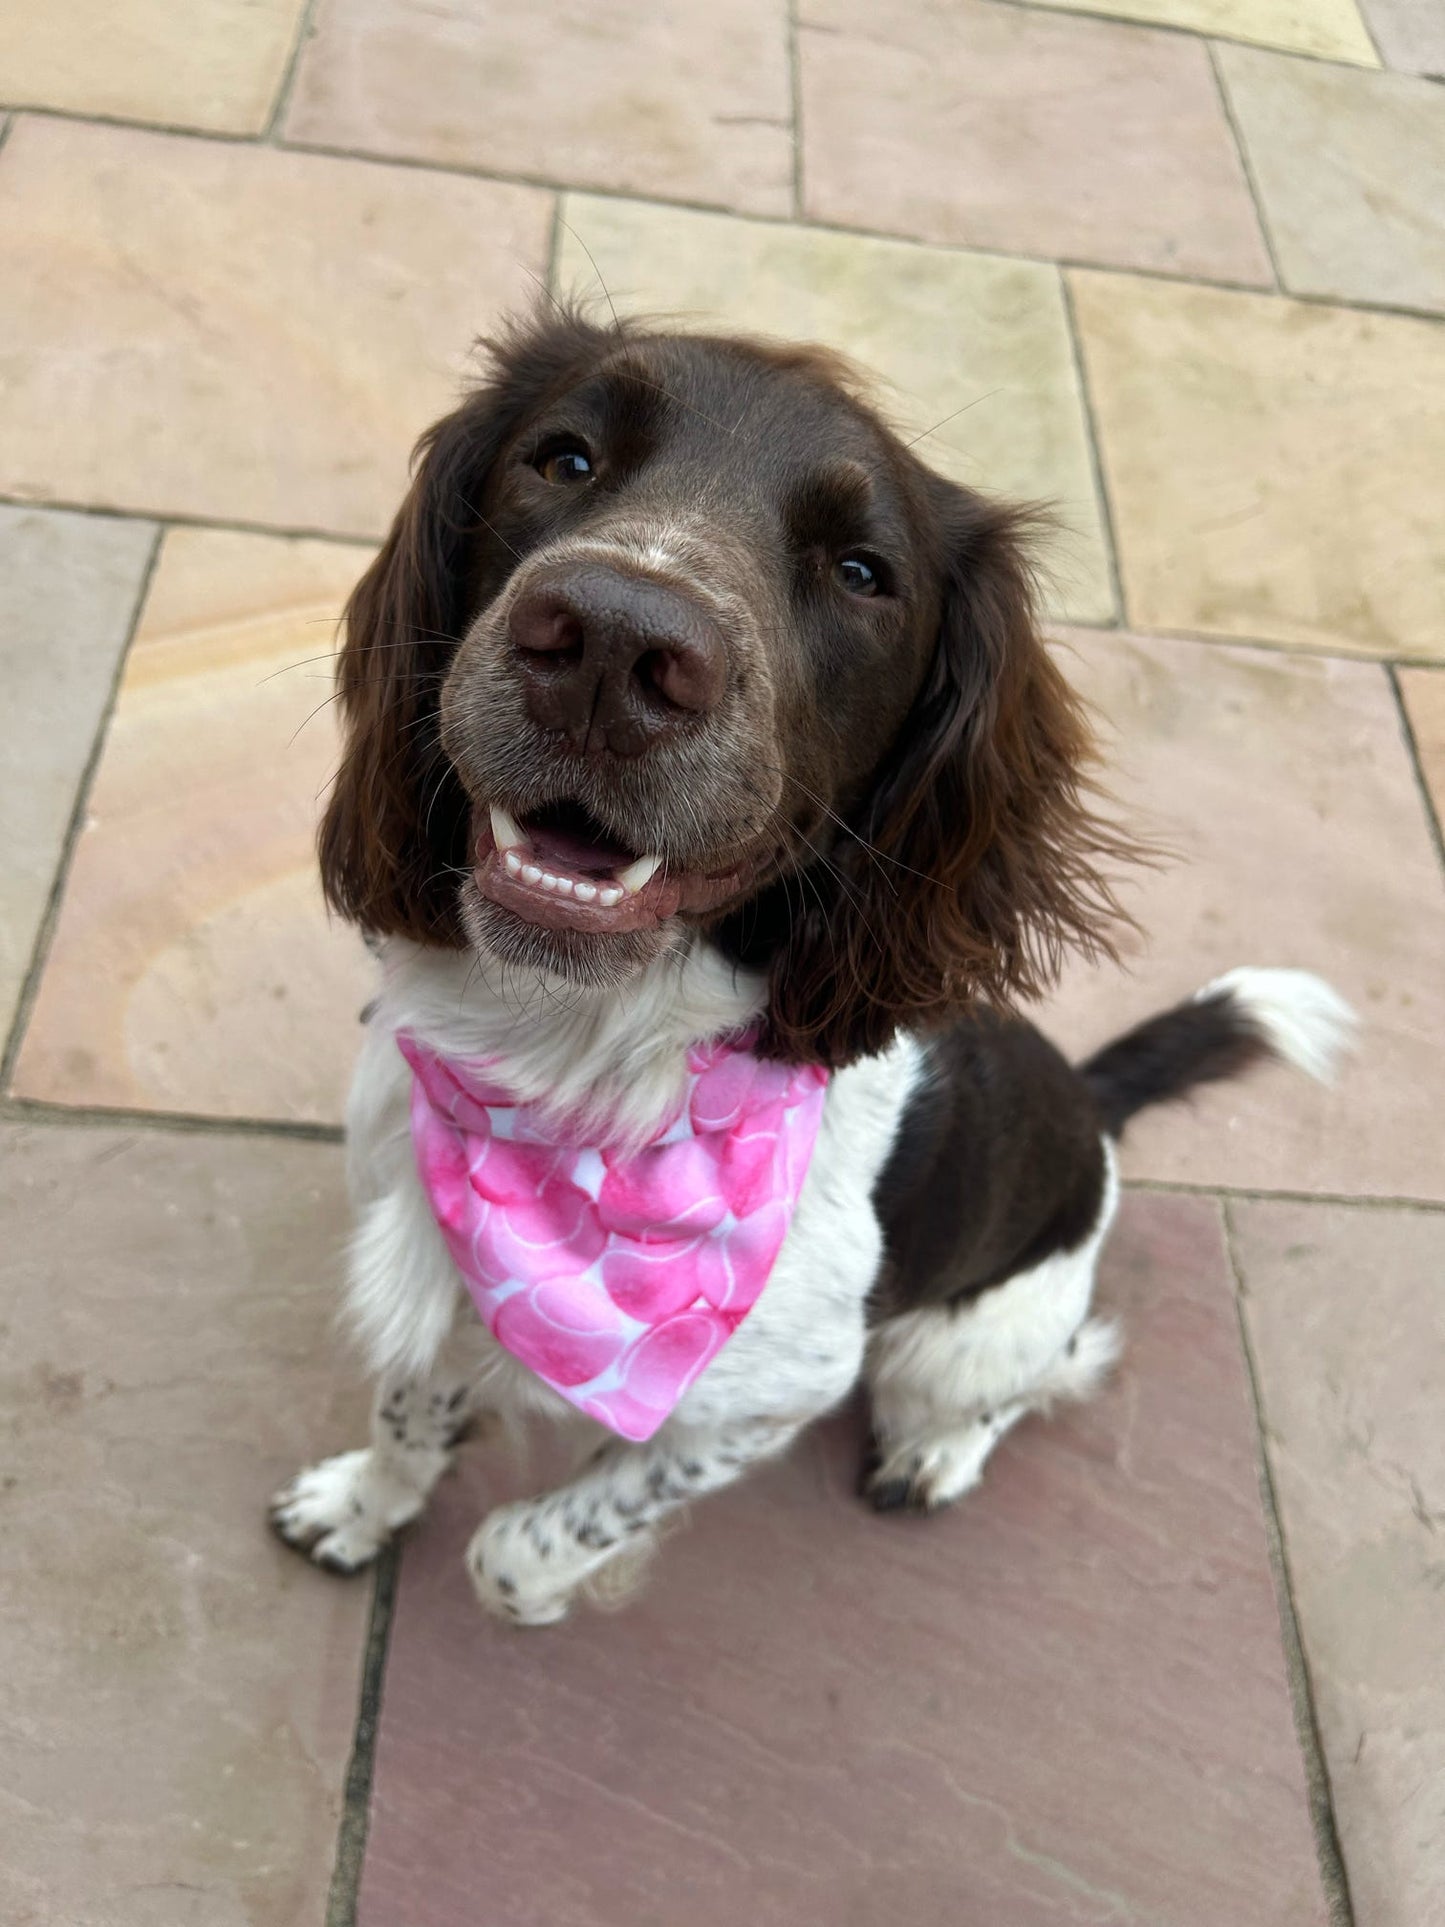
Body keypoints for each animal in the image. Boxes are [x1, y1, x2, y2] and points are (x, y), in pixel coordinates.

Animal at [271, 308, 1356, 1618]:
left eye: (860, 573)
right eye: (563, 458)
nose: (610, 643)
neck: (575, 1072)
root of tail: (1090, 1106)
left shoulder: (767, 1394)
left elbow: (526, 1542)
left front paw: (551, 1576)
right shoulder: (423, 1245)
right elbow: (408, 1410)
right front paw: (360, 1507)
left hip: (962, 1337)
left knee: (1029, 1379)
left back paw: (935, 1454)